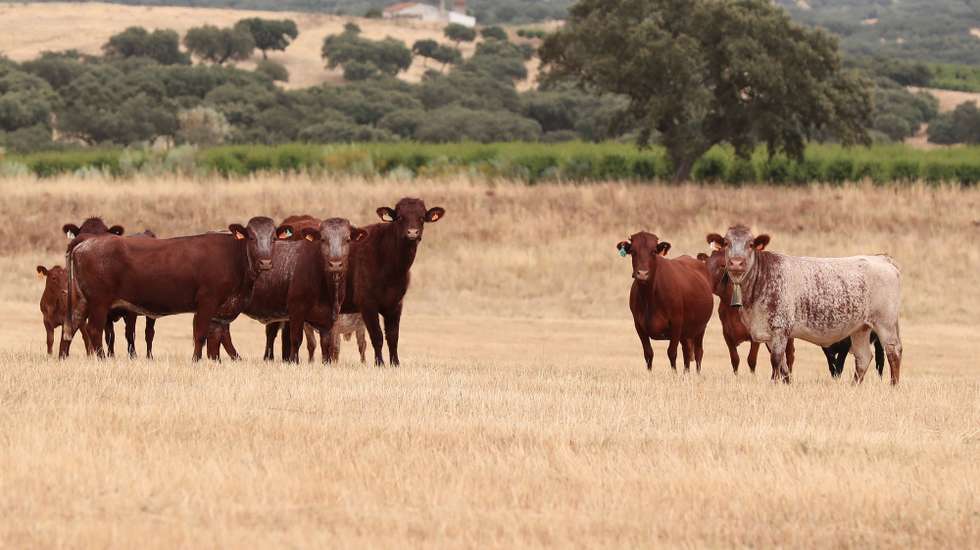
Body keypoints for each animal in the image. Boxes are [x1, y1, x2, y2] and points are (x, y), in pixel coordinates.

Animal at [60, 217, 281, 361]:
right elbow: (201, 333)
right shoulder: (207, 301)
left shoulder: (222, 311)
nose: (266, 263)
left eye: (273, 239)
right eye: (251, 237)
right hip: (99, 303)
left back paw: (63, 357)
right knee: (94, 329)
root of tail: (86, 242)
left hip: (82, 301)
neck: (233, 257)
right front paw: (196, 361)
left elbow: (216, 337)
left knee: (70, 328)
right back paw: (102, 359)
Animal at [342, 198, 445, 366]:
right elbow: (377, 336)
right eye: (400, 217)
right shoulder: (367, 304)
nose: (412, 233)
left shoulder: (396, 304)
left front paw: (395, 363)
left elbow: (393, 336)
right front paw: (380, 363)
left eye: (422, 218)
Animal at [617, 232, 714, 372]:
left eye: (653, 251)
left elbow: (672, 352)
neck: (649, 297)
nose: (642, 274)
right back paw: (686, 373)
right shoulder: (639, 325)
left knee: (698, 352)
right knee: (686, 351)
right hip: (686, 332)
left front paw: (674, 374)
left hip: (701, 327)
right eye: (633, 251)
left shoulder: (676, 323)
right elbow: (648, 353)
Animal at [706, 226, 902, 384]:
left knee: (893, 352)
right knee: (863, 358)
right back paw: (853, 387)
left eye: (751, 244)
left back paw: (893, 386)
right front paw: (786, 384)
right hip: (861, 328)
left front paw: (773, 384)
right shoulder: (767, 333)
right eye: (726, 243)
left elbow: (776, 360)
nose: (736, 262)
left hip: (885, 323)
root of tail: (882, 259)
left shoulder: (780, 328)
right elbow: (783, 366)